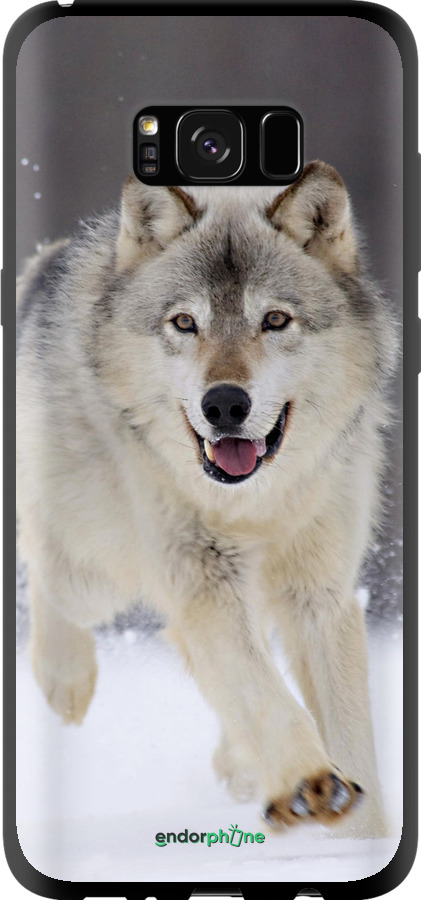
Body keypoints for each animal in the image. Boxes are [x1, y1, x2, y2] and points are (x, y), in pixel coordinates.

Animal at [17, 162, 397, 837]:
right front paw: (310, 783)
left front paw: (363, 836)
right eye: (184, 323)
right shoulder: (203, 580)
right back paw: (66, 679)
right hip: (94, 574)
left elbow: (350, 738)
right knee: (46, 568)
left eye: (275, 320)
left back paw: (242, 766)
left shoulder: (319, 594)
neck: (255, 504)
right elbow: (264, 693)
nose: (224, 404)